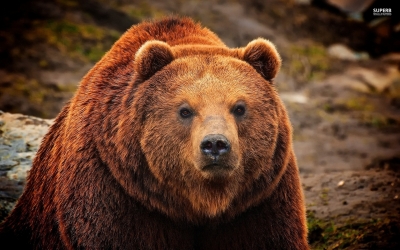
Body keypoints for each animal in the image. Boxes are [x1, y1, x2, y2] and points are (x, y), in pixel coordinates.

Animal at [0, 16, 310, 249]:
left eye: (240, 107)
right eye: (185, 110)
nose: (215, 145)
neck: (199, 203)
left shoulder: (258, 199)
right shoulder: (115, 189)